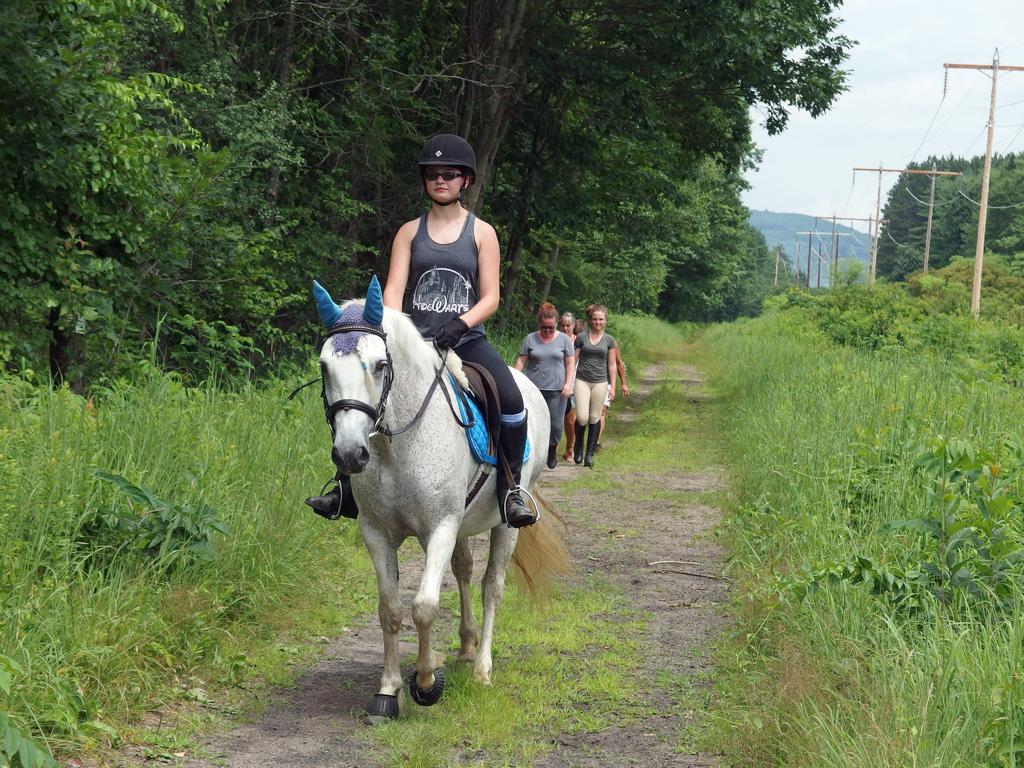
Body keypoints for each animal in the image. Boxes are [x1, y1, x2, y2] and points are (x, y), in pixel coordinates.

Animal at [311, 280, 569, 724]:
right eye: (325, 367)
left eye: (380, 364)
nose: (349, 455)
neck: (397, 448)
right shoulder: (376, 533)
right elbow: (390, 609)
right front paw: (388, 691)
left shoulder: (440, 528)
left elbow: (425, 607)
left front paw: (427, 682)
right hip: (462, 523)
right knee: (464, 570)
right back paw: (465, 646)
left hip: (505, 523)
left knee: (491, 586)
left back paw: (482, 667)